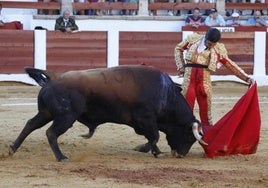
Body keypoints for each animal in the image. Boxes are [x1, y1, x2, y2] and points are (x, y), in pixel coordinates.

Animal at [8, 65, 205, 162]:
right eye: (190, 137)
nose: (181, 155)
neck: (166, 94)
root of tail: (53, 78)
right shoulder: (145, 119)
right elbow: (154, 136)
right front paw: (142, 149)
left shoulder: (143, 123)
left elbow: (152, 137)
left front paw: (156, 152)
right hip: (66, 117)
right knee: (51, 133)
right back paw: (61, 157)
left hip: (46, 113)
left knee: (30, 125)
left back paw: (12, 148)